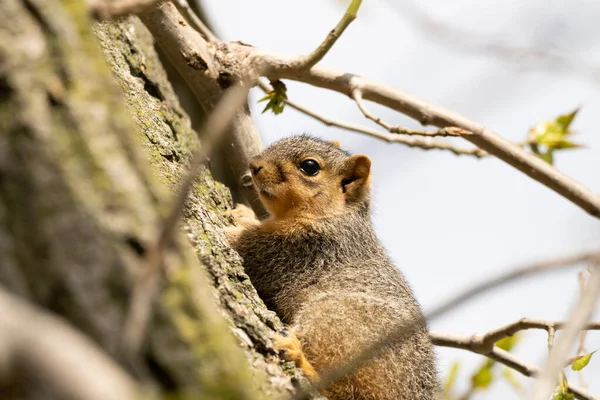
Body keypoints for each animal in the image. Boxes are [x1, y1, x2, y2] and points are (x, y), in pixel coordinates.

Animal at [225, 136, 436, 398]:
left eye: (309, 166)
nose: (254, 164)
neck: (333, 216)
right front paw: (243, 214)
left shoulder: (298, 249)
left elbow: (246, 246)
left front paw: (230, 229)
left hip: (335, 320)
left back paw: (299, 357)